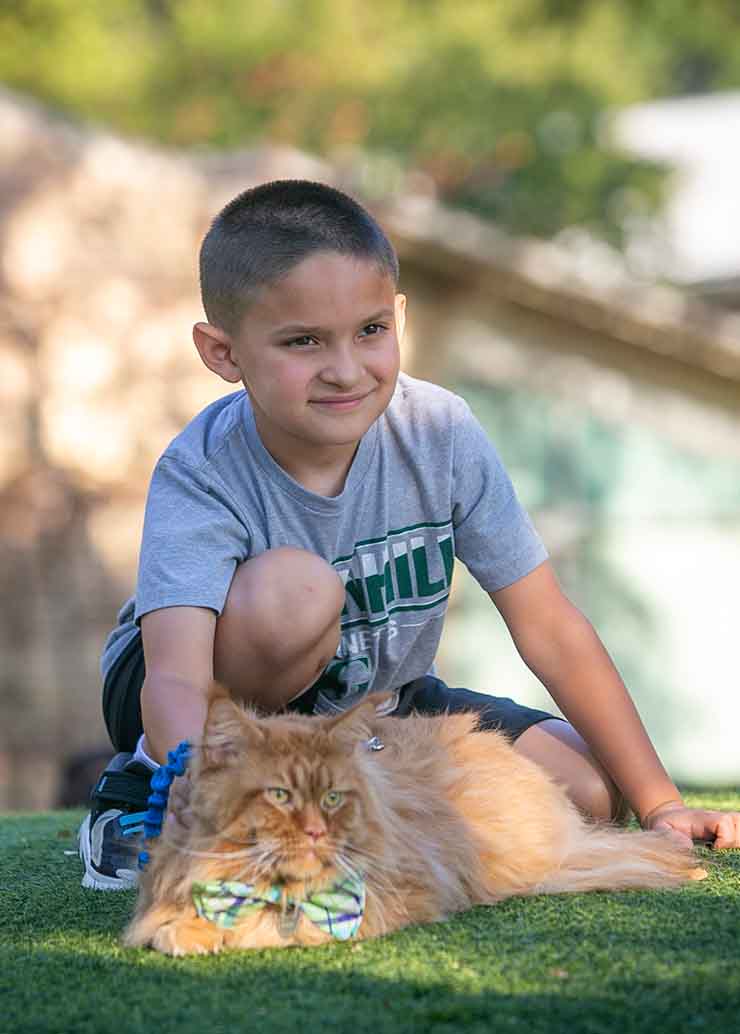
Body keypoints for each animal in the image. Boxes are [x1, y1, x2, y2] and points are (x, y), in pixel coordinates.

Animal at [125, 682, 706, 955]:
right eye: (280, 796)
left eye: (333, 798)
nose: (316, 832)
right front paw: (187, 927)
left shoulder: (379, 898)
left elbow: (275, 923)